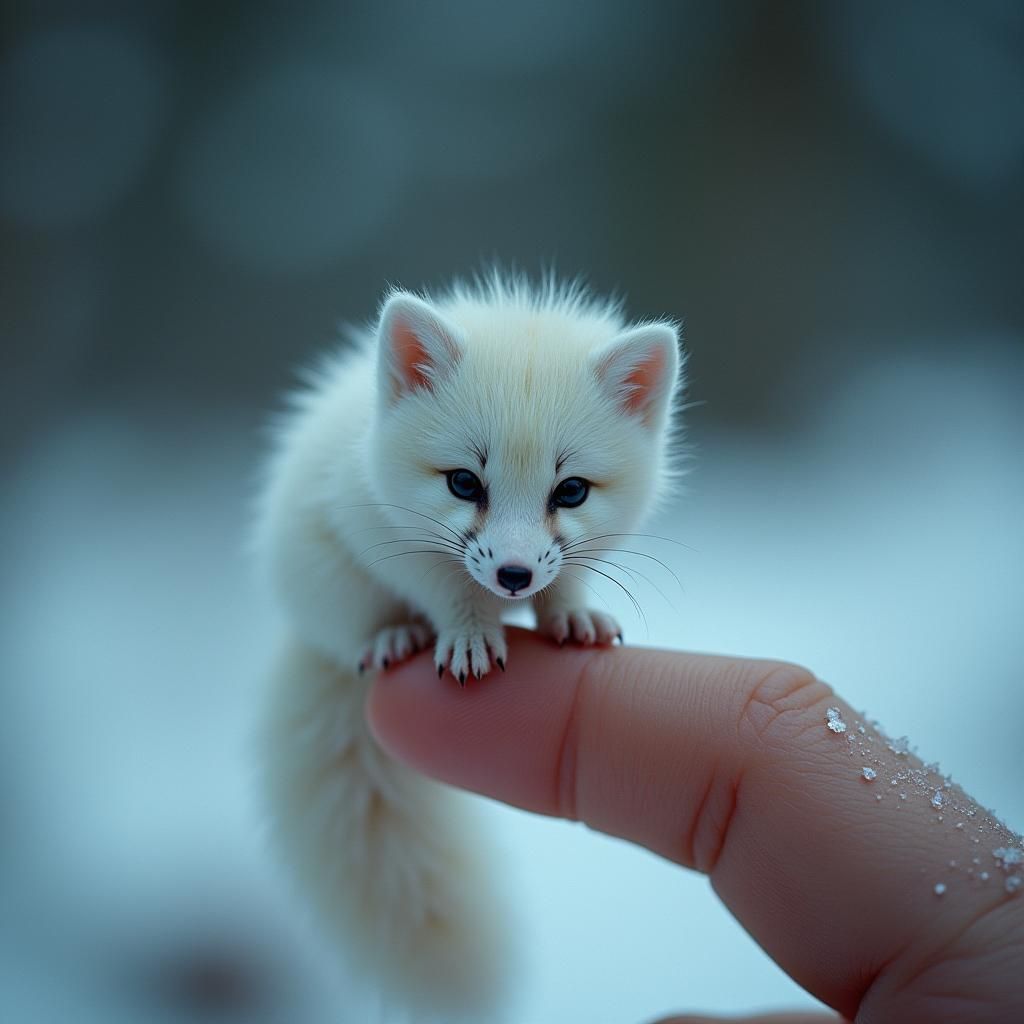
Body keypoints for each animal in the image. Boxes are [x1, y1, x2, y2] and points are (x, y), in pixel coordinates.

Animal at [254, 273, 683, 1020]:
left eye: (571, 490)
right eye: (463, 481)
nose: (513, 575)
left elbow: (568, 584)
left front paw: (573, 617)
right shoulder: (376, 529)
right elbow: (444, 588)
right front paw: (469, 637)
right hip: (325, 589)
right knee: (353, 631)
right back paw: (391, 637)